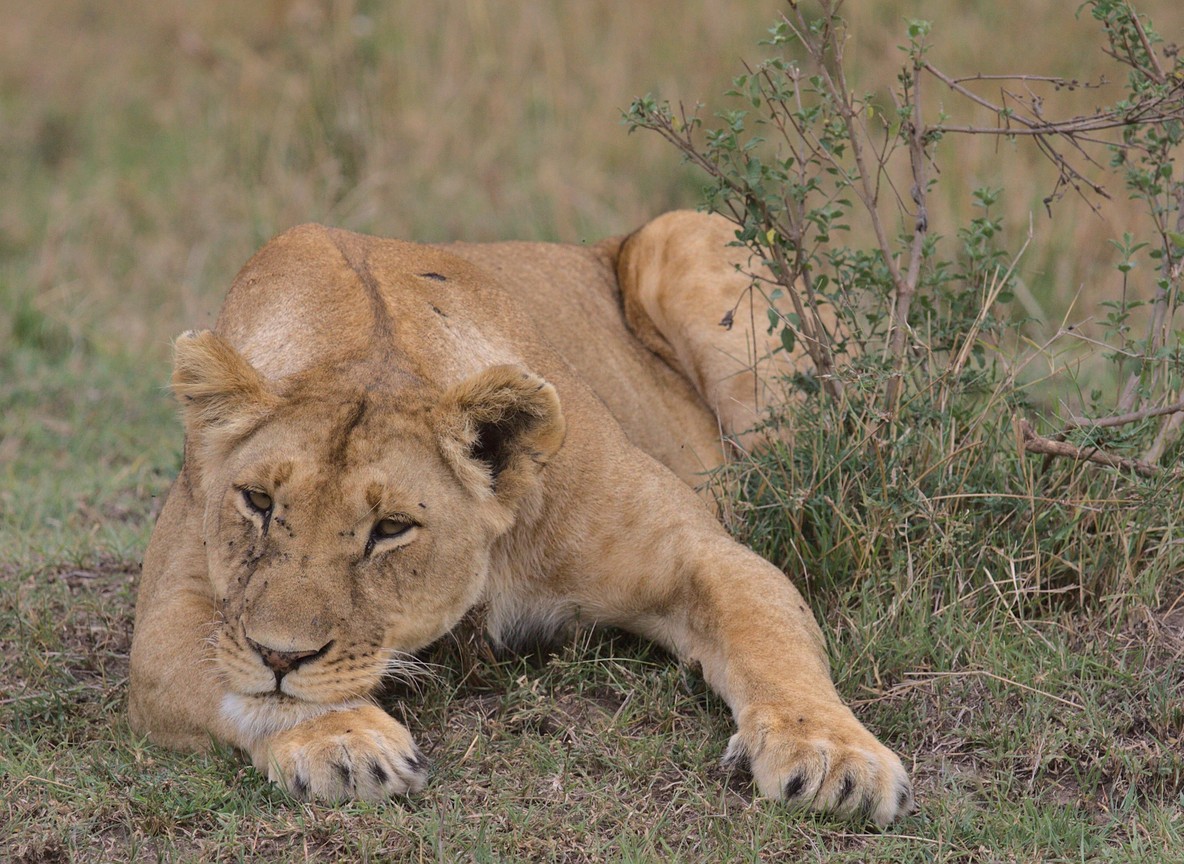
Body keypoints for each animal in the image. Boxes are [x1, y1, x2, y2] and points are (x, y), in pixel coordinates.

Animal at [129, 210, 912, 824]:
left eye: (390, 529)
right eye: (259, 503)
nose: (282, 654)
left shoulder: (698, 551)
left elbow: (767, 638)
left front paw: (835, 759)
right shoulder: (171, 614)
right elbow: (238, 680)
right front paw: (342, 741)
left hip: (689, 235)